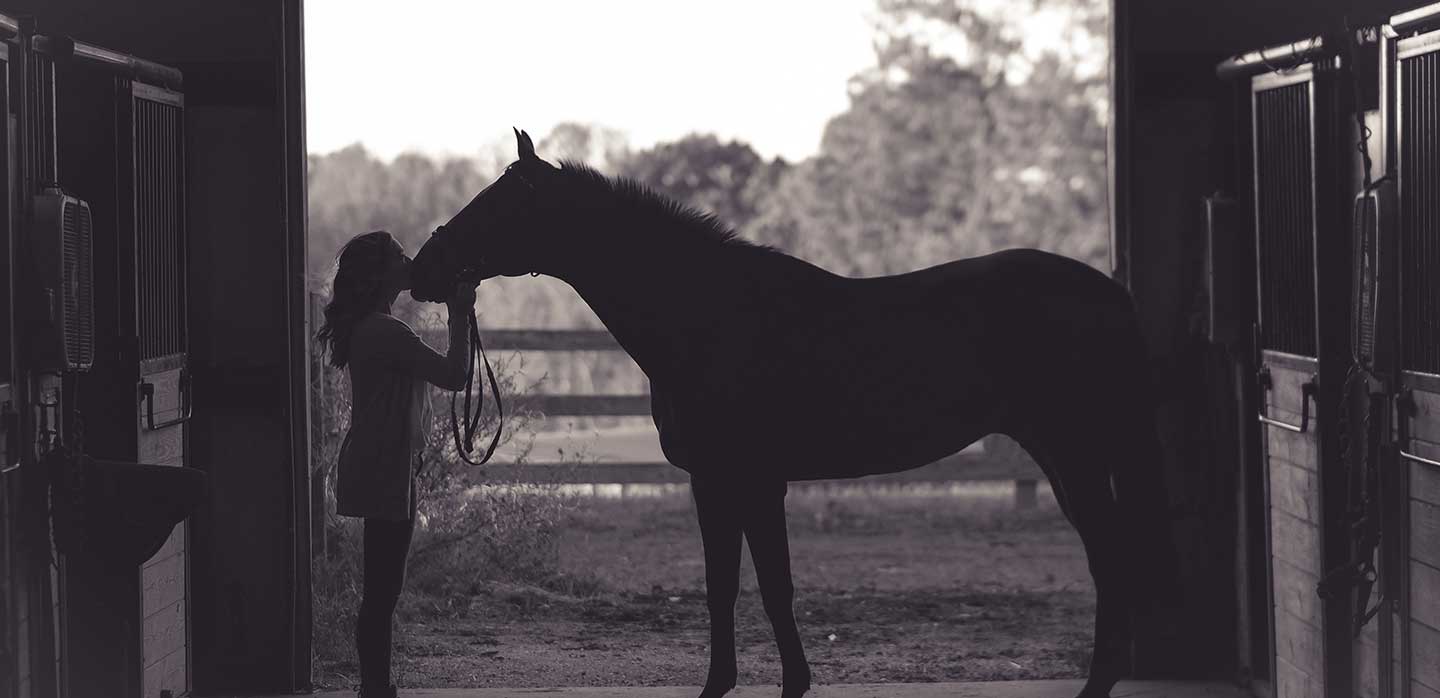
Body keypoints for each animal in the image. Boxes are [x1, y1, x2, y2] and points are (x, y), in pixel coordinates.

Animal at [411, 128, 1175, 696]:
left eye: (496, 205)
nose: (422, 270)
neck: (709, 316)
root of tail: (1111, 293)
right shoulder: (712, 482)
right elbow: (725, 587)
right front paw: (722, 686)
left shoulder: (754, 480)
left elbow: (772, 587)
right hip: (1063, 455)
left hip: (1077, 453)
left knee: (1113, 557)